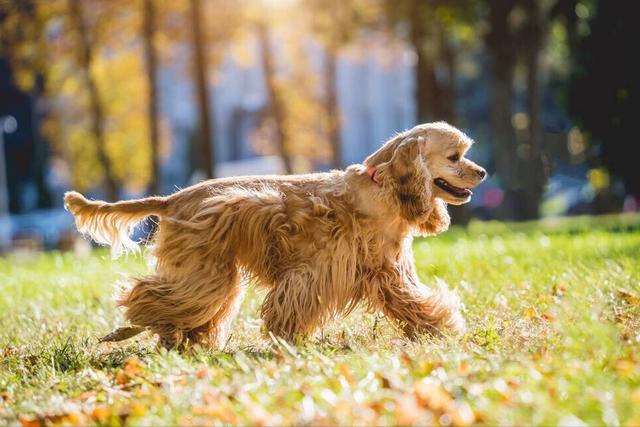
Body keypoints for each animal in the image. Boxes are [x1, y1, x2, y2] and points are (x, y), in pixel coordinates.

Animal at [63, 122, 484, 350]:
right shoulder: (318, 270)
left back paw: (182, 337)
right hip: (205, 272)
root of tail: (172, 199)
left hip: (214, 274)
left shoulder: (385, 271)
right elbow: (292, 305)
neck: (384, 188)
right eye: (454, 156)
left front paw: (437, 327)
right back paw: (144, 329)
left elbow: (412, 302)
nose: (482, 172)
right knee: (150, 296)